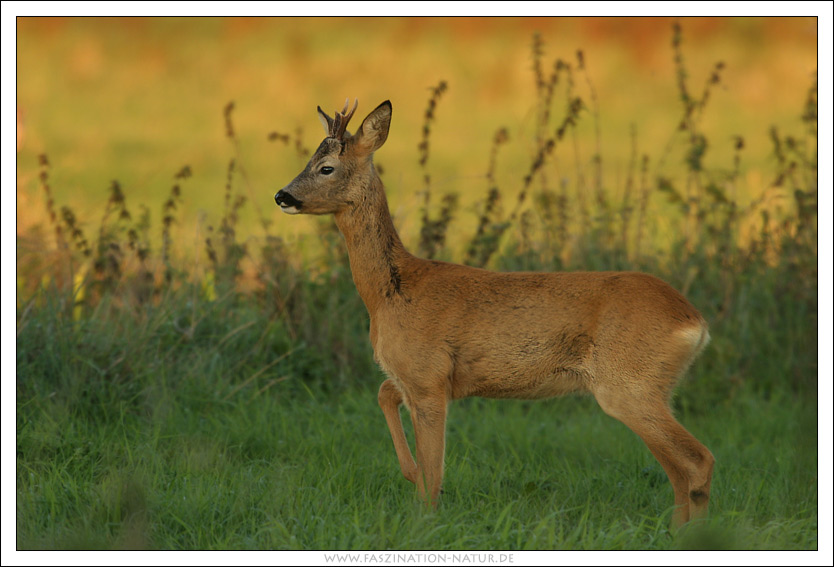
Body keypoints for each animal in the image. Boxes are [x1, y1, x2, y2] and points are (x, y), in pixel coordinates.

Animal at [276, 97, 712, 528]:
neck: (389, 292)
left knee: (697, 460)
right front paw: (410, 475)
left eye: (326, 167)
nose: (282, 196)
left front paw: (424, 520)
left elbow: (434, 472)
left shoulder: (428, 377)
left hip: (629, 384)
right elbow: (388, 401)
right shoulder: (419, 377)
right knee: (679, 470)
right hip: (653, 387)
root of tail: (695, 322)